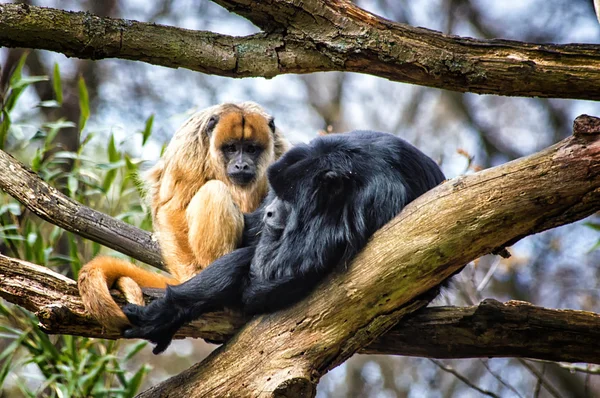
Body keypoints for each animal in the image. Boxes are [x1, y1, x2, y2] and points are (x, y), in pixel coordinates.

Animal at [77, 102, 288, 330]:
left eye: (251, 149)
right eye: (231, 148)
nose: (241, 165)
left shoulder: (282, 150)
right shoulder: (189, 147)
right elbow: (173, 209)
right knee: (214, 191)